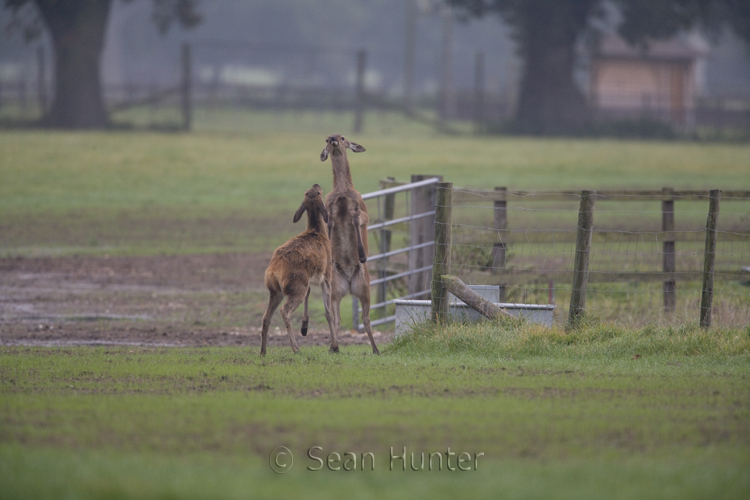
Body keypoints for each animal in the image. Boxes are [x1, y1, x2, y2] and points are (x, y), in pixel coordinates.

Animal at [260, 184, 338, 356]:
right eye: (320, 192)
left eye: (308, 192)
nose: (316, 184)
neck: (318, 232)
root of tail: (273, 271)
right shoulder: (327, 275)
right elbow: (329, 312)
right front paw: (335, 346)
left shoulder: (310, 279)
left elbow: (311, 295)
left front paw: (305, 326)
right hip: (296, 286)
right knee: (284, 310)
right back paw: (296, 349)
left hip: (276, 290)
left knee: (266, 317)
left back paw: (263, 352)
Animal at [320, 134, 379, 355]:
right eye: (326, 139)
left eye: (343, 137)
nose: (333, 139)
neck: (342, 192)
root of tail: (348, 284)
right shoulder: (328, 211)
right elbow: (328, 227)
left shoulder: (362, 210)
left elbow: (355, 220)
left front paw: (361, 253)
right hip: (335, 290)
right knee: (336, 319)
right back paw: (333, 346)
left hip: (365, 287)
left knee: (366, 319)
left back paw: (376, 349)